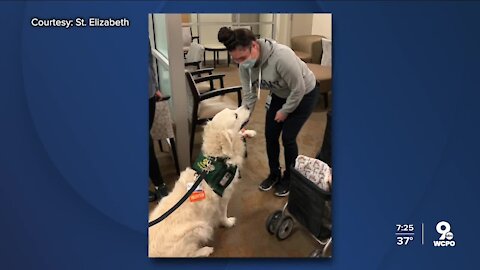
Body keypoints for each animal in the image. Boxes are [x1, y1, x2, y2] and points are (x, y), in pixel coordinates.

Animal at [149, 106, 255, 258]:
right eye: (235, 115)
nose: (247, 106)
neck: (217, 158)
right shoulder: (224, 197)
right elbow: (223, 214)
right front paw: (228, 222)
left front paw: (250, 133)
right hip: (200, 228)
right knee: (188, 255)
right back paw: (205, 250)